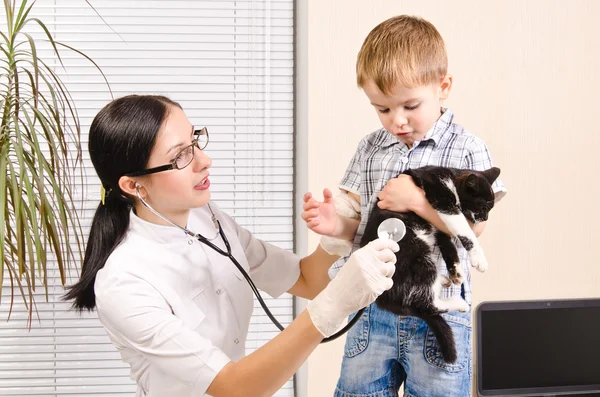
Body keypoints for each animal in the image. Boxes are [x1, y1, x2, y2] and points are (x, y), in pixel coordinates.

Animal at [360, 166, 502, 364]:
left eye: (491, 208)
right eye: (483, 207)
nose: (485, 218)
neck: (452, 176)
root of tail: (384, 299)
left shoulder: (440, 226)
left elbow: (448, 244)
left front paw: (456, 271)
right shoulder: (442, 197)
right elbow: (464, 229)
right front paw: (478, 257)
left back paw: (444, 280)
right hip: (417, 255)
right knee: (428, 303)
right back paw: (458, 302)